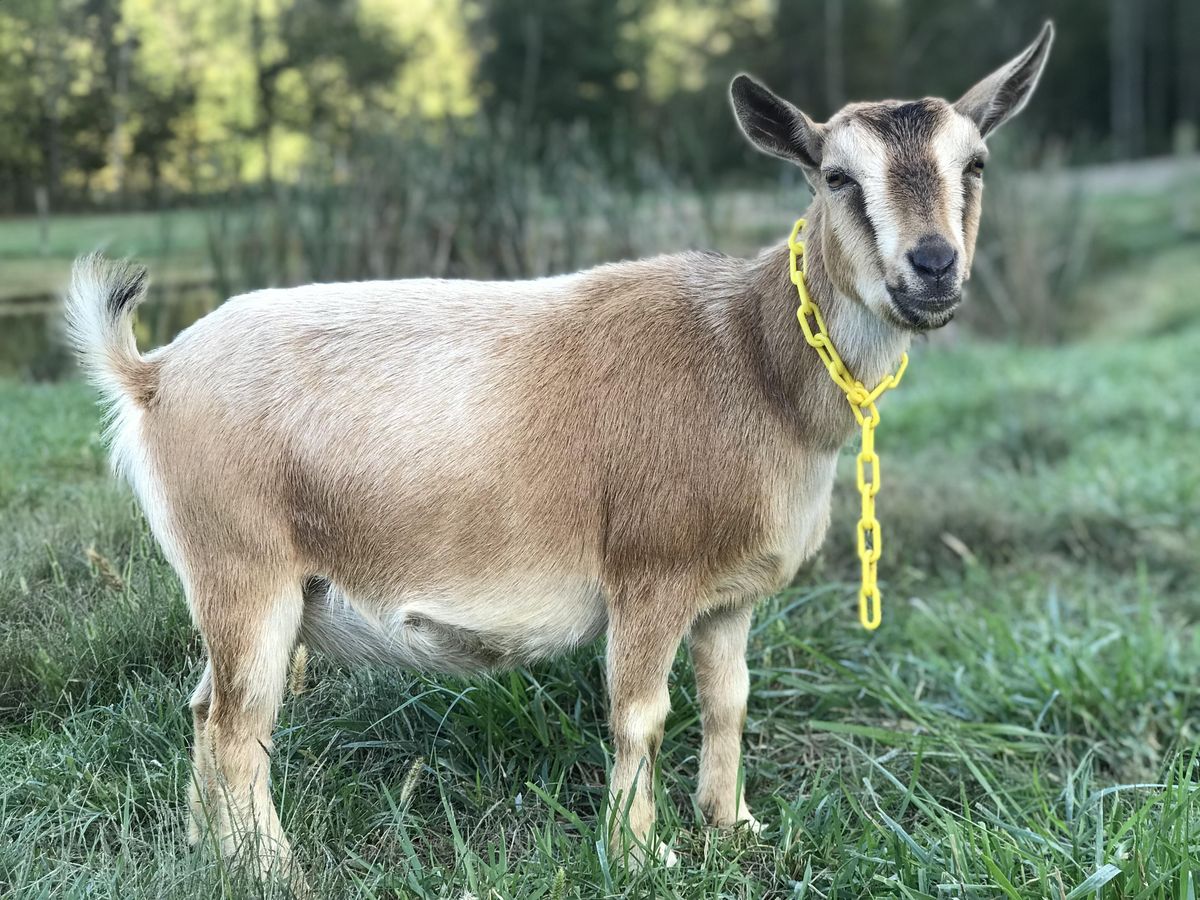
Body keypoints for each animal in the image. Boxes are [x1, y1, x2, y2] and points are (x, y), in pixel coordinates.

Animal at [65, 23, 1053, 878]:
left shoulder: (729, 595)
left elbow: (728, 702)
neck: (751, 359)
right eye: (837, 177)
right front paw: (641, 853)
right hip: (246, 568)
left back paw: (206, 849)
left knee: (206, 709)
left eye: (976, 164)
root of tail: (152, 373)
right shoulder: (651, 572)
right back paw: (271, 867)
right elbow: (641, 714)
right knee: (241, 727)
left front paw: (732, 824)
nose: (933, 267)